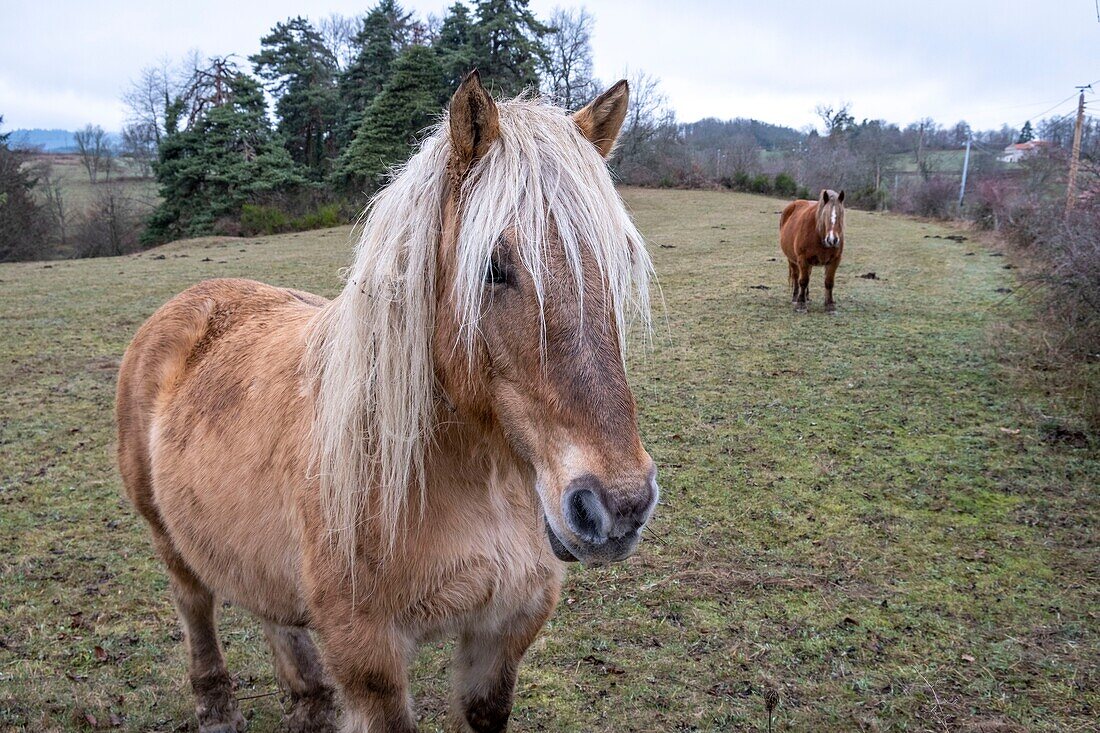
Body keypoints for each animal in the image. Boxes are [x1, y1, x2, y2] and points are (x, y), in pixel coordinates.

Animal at [118, 72, 660, 730]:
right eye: (494, 266)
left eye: (617, 260)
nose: (619, 504)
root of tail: (191, 299)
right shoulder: (368, 657)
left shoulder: (503, 635)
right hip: (168, 539)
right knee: (194, 603)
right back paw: (217, 706)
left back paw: (311, 703)